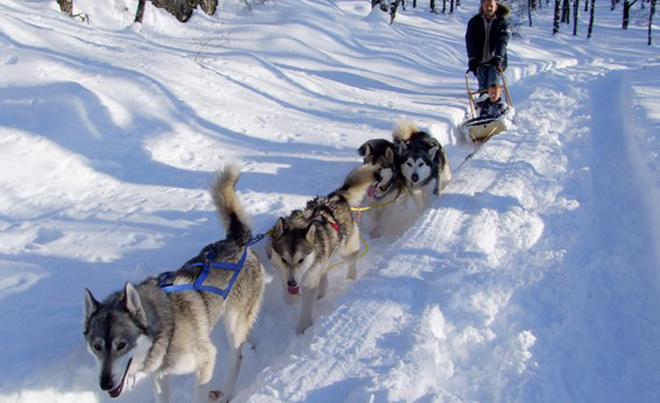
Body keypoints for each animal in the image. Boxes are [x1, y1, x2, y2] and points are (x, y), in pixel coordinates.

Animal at [84, 165, 264, 403]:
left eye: (121, 345)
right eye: (97, 346)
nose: (105, 384)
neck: (165, 330)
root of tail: (236, 242)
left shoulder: (206, 360)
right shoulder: (159, 376)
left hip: (233, 325)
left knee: (238, 357)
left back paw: (227, 392)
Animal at [266, 164, 376, 334]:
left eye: (301, 260)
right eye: (284, 259)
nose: (292, 283)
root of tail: (336, 197)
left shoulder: (309, 282)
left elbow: (305, 310)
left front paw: (302, 331)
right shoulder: (283, 272)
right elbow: (290, 298)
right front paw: (294, 297)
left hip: (345, 251)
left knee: (351, 262)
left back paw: (350, 280)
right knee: (324, 270)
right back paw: (322, 289)